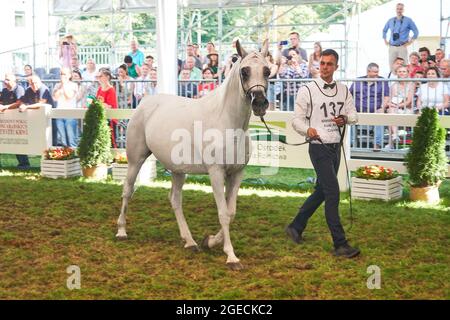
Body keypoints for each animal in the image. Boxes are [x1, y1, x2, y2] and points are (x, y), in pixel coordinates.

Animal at [117, 40, 270, 270]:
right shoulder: (216, 173)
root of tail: (144, 103)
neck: (228, 122)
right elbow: (223, 213)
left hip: (178, 171)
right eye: (244, 71)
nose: (260, 103)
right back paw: (121, 231)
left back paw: (190, 242)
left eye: (267, 70)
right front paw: (231, 256)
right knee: (128, 190)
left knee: (175, 200)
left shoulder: (236, 174)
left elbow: (231, 212)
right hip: (136, 160)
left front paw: (210, 241)